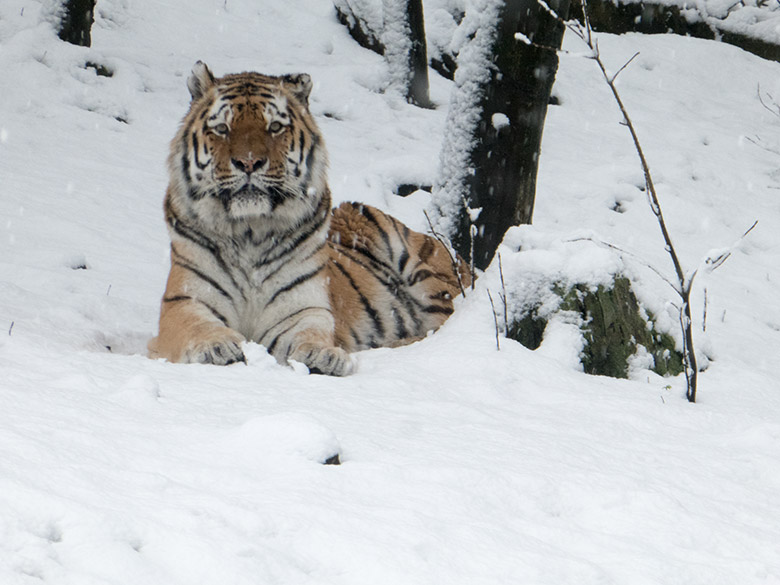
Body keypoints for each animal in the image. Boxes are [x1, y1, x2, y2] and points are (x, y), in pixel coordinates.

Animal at [149, 61, 472, 374]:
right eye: (222, 128)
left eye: (275, 127)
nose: (249, 162)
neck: (250, 230)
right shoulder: (186, 301)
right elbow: (196, 327)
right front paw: (217, 346)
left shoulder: (304, 309)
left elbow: (310, 333)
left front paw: (323, 355)